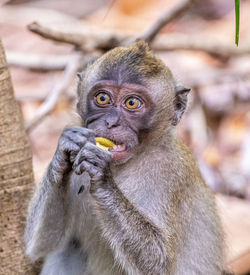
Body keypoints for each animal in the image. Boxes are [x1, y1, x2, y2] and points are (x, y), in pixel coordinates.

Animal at [24, 41, 226, 275]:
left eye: (131, 103)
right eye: (102, 98)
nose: (111, 122)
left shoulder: (170, 170)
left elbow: (160, 263)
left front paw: (101, 176)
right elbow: (39, 244)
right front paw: (65, 150)